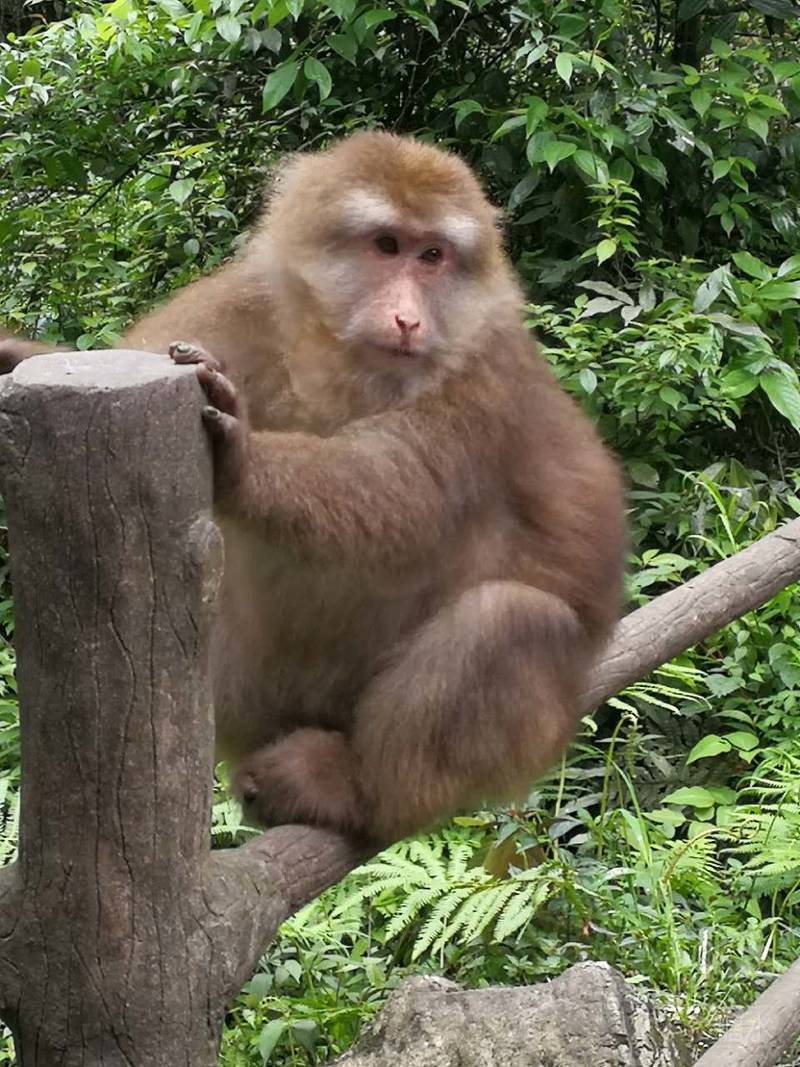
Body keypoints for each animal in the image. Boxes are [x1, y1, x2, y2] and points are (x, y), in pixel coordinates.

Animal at [1, 131, 625, 845]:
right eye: (387, 245)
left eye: (433, 256)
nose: (409, 319)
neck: (341, 365)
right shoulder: (234, 306)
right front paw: (12, 358)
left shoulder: (482, 380)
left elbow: (400, 492)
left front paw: (243, 462)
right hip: (244, 696)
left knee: (513, 621)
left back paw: (356, 792)